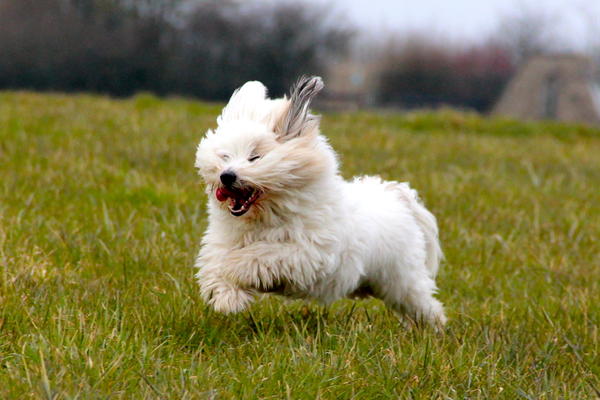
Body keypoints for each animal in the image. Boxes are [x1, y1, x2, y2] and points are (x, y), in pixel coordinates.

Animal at [196, 76, 446, 326]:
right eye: (224, 156)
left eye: (255, 157)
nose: (226, 176)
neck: (266, 216)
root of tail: (396, 196)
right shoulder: (222, 242)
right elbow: (217, 267)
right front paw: (227, 299)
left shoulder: (307, 252)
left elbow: (260, 255)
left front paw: (234, 268)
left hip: (402, 278)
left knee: (423, 303)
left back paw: (435, 327)